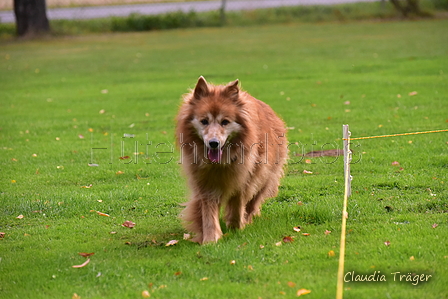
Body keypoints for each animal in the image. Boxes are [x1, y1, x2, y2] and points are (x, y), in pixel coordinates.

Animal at [175, 76, 288, 245]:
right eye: (204, 121)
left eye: (225, 122)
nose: (213, 143)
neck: (220, 164)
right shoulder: (204, 181)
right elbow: (208, 209)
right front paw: (210, 238)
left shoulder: (243, 176)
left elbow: (238, 202)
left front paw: (236, 226)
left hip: (265, 175)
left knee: (254, 199)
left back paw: (248, 217)